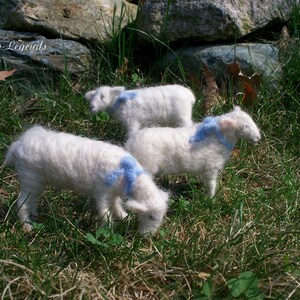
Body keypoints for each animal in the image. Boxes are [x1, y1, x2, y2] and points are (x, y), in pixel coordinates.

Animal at [5, 125, 169, 236]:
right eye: (150, 216)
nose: (146, 237)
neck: (127, 173)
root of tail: (17, 145)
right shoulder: (102, 191)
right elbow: (104, 211)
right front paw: (109, 229)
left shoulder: (114, 192)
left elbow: (116, 205)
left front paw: (124, 217)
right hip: (29, 177)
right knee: (22, 202)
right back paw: (27, 226)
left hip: (37, 181)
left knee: (31, 199)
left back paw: (35, 215)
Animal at [124, 106, 260, 198]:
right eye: (245, 126)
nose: (258, 138)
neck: (217, 138)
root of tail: (129, 145)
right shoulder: (210, 168)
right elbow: (211, 185)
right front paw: (211, 199)